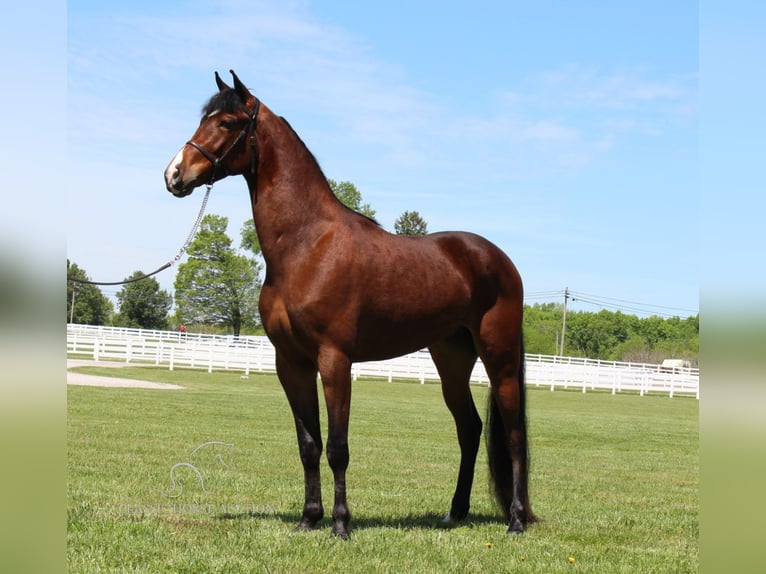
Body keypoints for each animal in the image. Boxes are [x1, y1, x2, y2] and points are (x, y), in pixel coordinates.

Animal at [164, 71, 536, 540]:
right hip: (451, 360)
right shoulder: (291, 363)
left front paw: (340, 524)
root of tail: (499, 259)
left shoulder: (335, 360)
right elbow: (309, 445)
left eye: (228, 122)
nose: (174, 173)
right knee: (469, 430)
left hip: (499, 358)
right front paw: (309, 518)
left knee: (514, 434)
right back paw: (455, 512)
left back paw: (517, 520)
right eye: (204, 118)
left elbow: (337, 447)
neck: (308, 245)